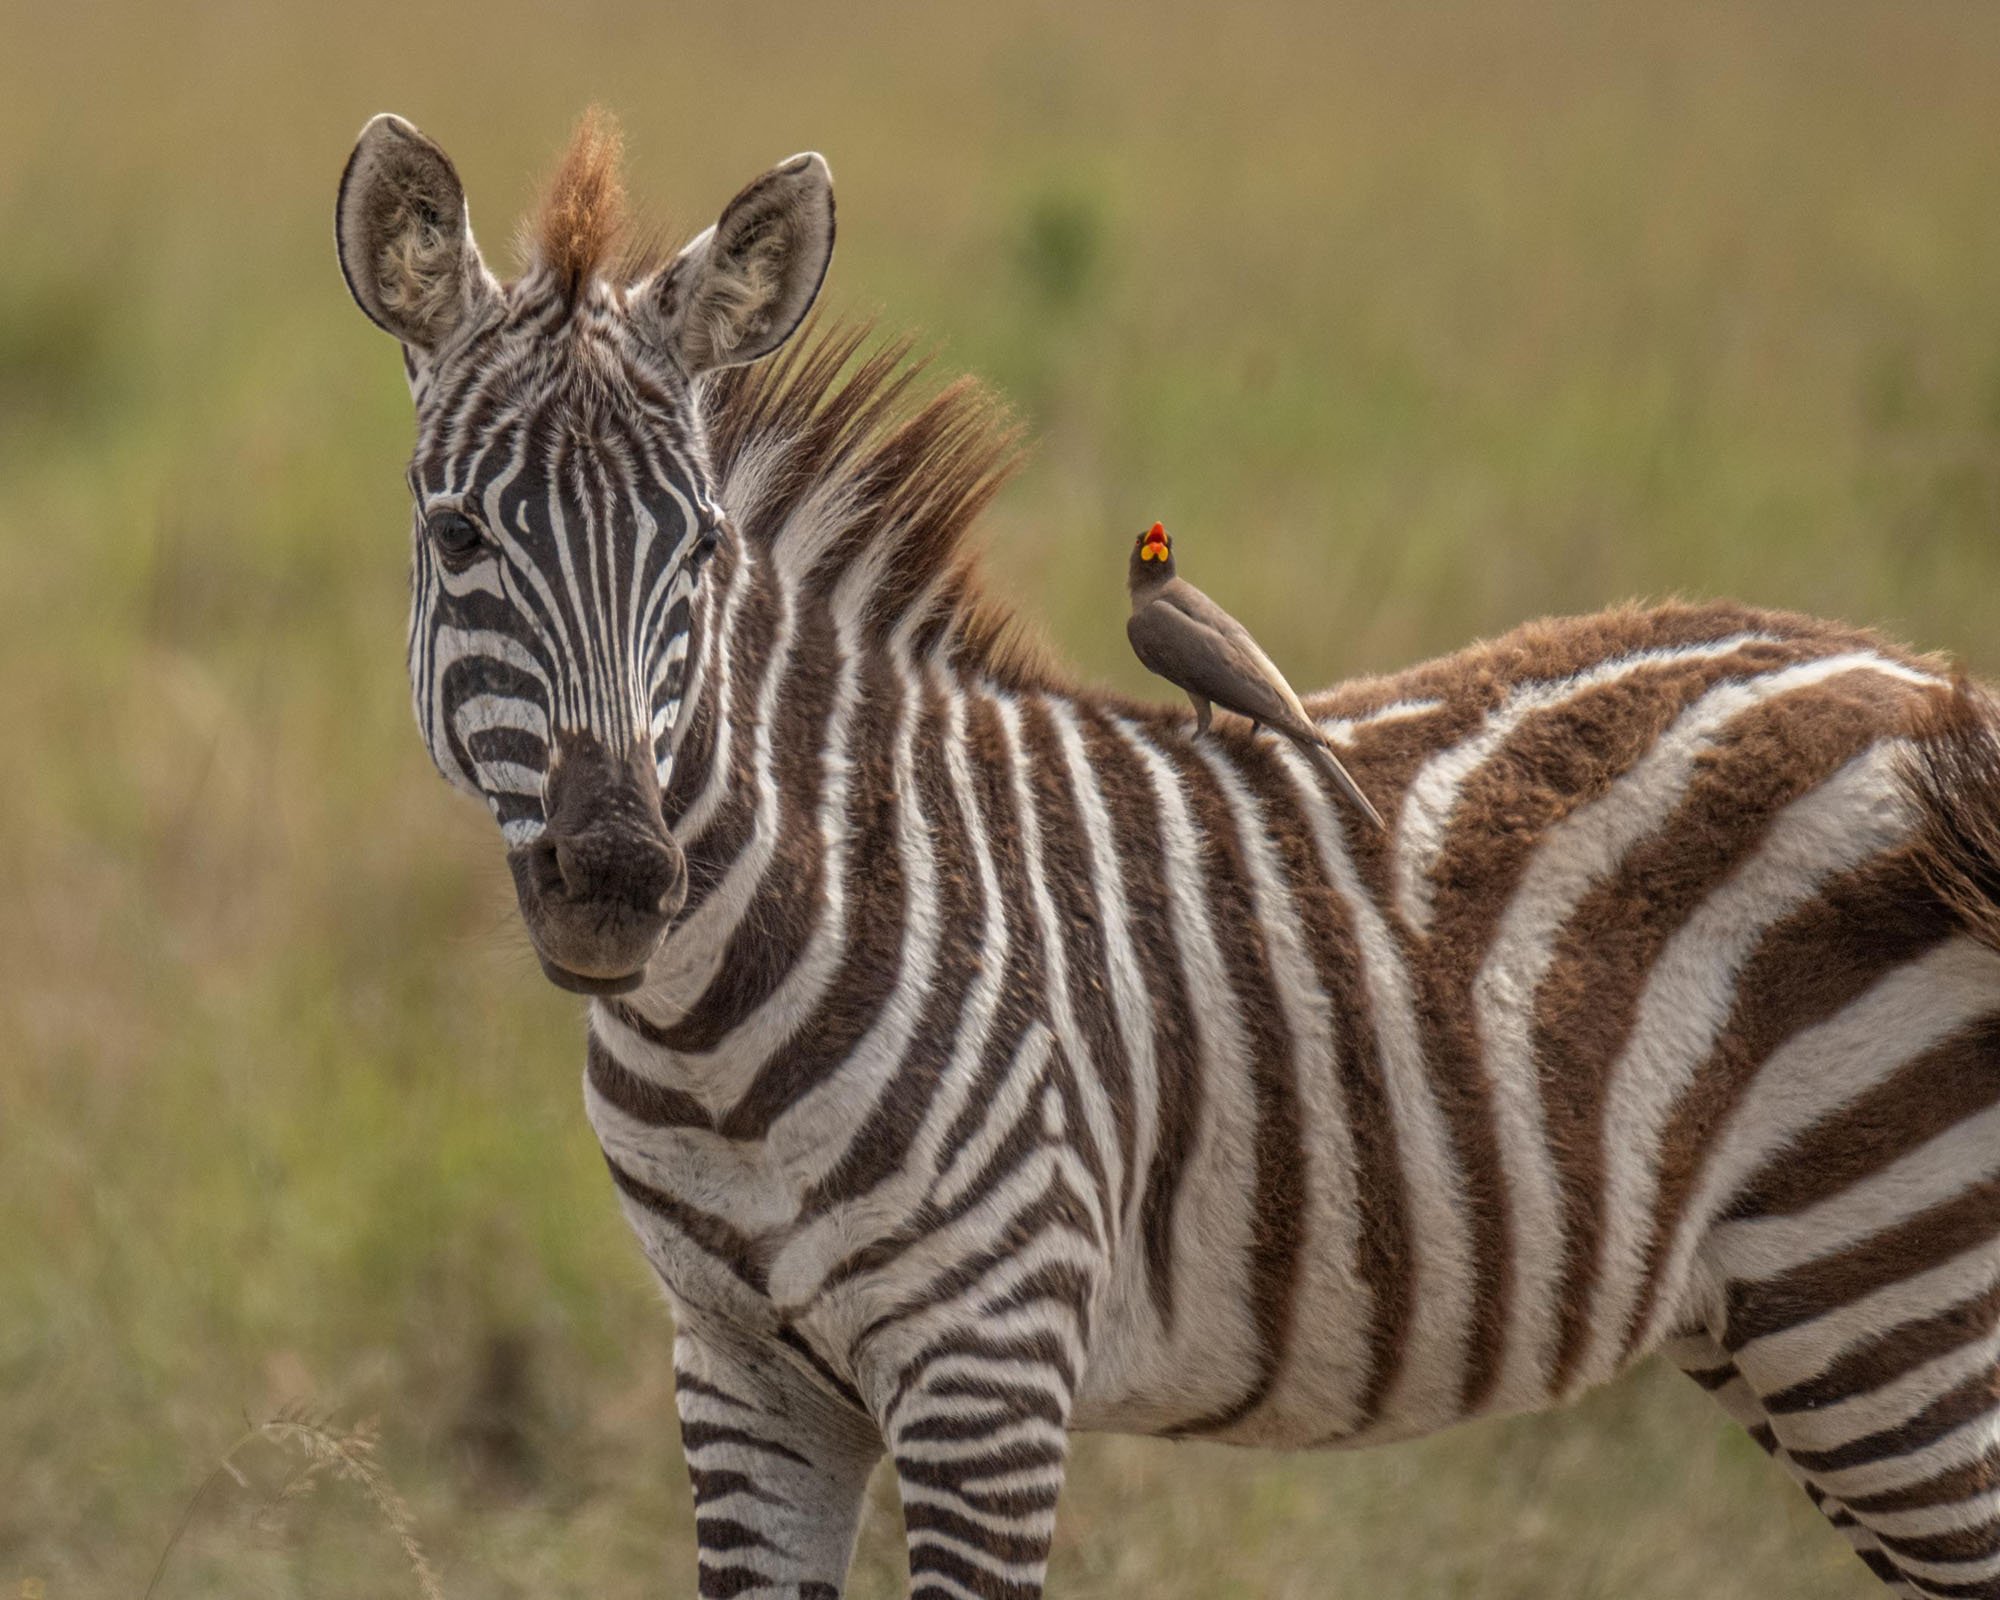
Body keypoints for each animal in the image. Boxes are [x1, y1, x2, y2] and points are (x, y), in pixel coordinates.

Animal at [337, 108, 2000, 1598]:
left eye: (696, 550)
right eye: (459, 535)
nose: (617, 881)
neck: (714, 1028)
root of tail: (1922, 685)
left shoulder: (990, 1368)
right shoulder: (742, 1378)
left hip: (1905, 1304)